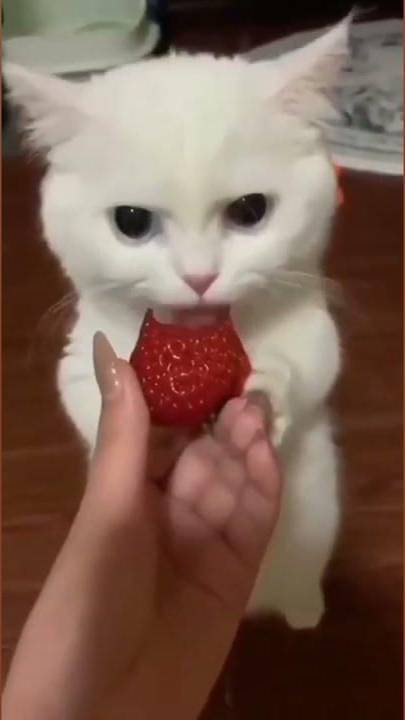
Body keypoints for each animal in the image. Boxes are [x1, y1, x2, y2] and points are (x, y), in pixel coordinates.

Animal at [6, 16, 350, 629]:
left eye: (250, 211)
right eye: (131, 222)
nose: (199, 276)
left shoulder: (313, 322)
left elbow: (310, 363)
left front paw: (266, 394)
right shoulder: (84, 353)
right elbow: (87, 399)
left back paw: (305, 611)